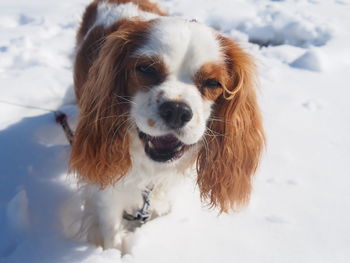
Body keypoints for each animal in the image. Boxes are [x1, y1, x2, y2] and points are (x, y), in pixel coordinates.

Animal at [68, 0, 264, 251]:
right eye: (146, 69)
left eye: (212, 83)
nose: (177, 111)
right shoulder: (107, 191)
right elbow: (111, 231)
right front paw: (113, 251)